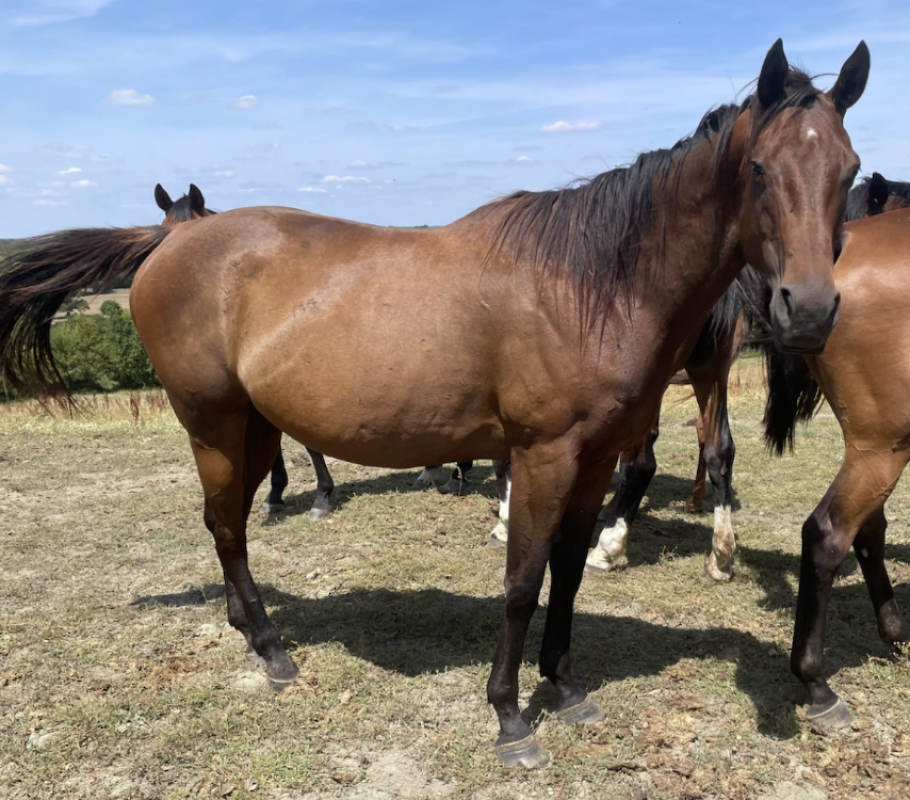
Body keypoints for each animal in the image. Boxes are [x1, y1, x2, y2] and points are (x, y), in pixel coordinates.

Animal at [0, 40, 869, 767]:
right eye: (758, 170)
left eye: (850, 170)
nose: (809, 310)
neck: (590, 284)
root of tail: (171, 241)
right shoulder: (543, 456)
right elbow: (521, 581)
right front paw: (511, 718)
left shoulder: (592, 460)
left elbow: (568, 571)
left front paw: (563, 685)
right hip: (213, 425)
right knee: (225, 527)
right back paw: (272, 649)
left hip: (252, 429)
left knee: (229, 524)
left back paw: (250, 628)